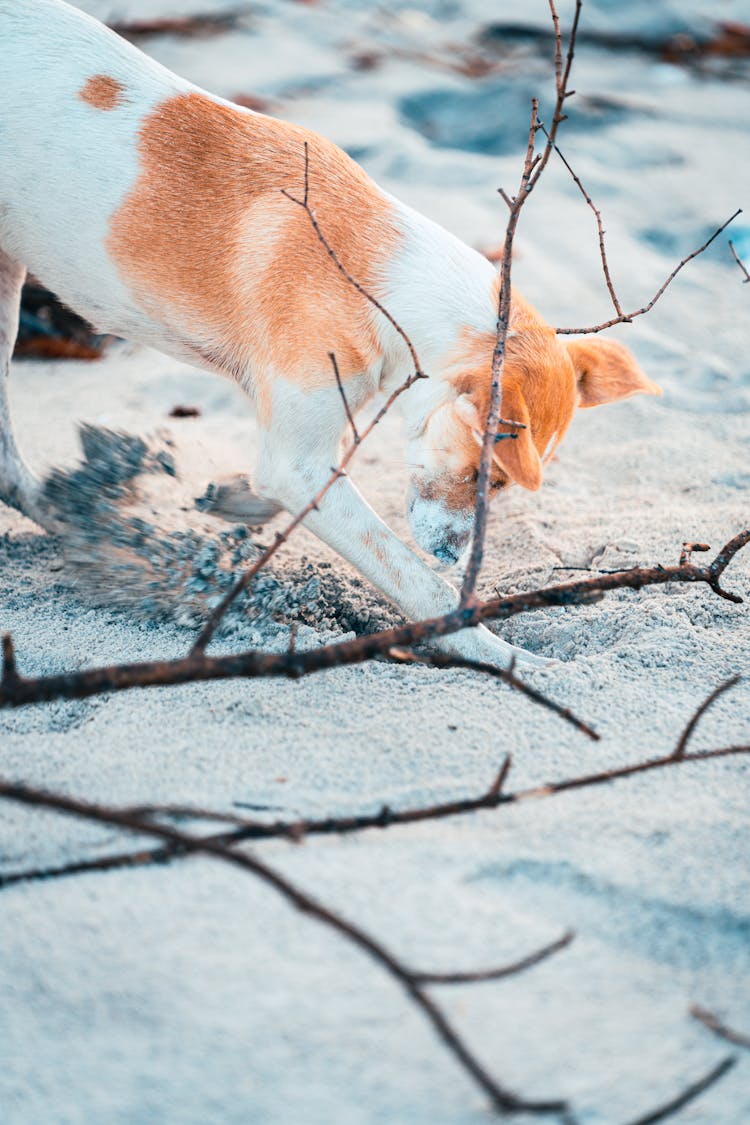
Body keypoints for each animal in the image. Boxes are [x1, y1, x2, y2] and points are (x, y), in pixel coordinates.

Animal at [0, 0, 661, 666]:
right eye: (487, 478)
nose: (452, 553)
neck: (380, 279)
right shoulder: (299, 463)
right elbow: (414, 579)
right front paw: (502, 654)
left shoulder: (308, 445)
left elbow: (275, 484)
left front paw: (231, 497)